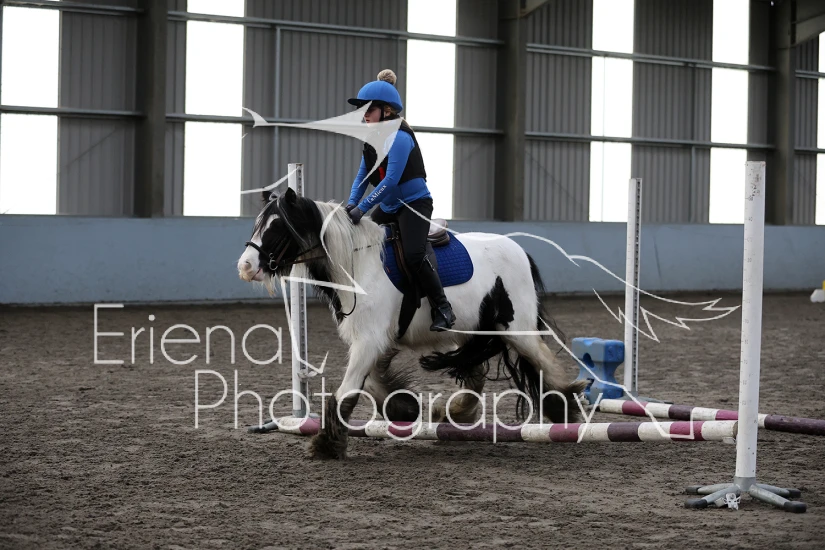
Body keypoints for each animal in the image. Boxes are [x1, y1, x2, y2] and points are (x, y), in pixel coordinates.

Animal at [237, 187, 586, 459]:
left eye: (278, 226)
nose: (246, 266)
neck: (358, 261)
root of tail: (521, 251)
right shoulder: (373, 340)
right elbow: (371, 385)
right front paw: (405, 408)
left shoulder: (370, 339)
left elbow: (348, 389)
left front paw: (326, 445)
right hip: (470, 332)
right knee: (475, 375)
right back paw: (453, 414)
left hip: (517, 330)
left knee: (543, 363)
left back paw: (566, 410)